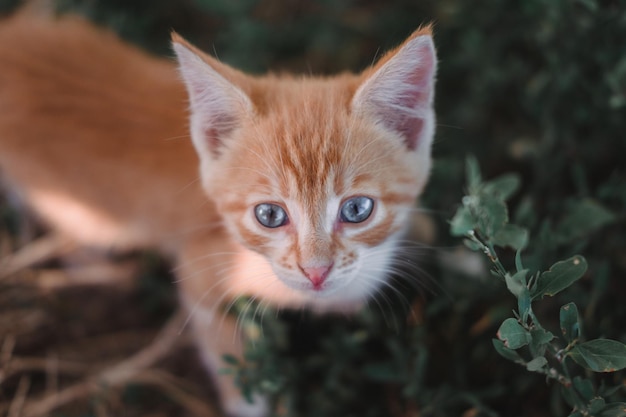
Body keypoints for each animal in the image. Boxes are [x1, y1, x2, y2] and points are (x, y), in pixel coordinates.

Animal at [0, 13, 436, 416]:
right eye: (269, 215)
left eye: (357, 209)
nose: (316, 272)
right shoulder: (200, 273)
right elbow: (226, 352)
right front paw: (248, 402)